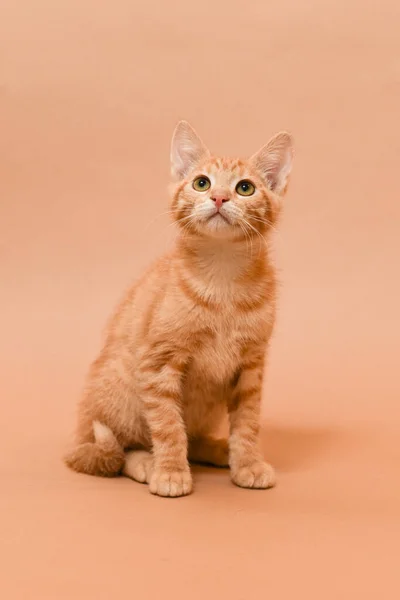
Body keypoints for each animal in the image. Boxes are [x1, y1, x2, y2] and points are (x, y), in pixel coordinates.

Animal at [65, 120, 294, 496]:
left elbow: (247, 423)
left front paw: (247, 462)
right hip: (119, 392)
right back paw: (147, 462)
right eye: (201, 183)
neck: (222, 278)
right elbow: (168, 425)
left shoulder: (251, 365)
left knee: (193, 435)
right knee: (114, 452)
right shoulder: (159, 363)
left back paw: (218, 449)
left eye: (245, 188)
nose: (219, 198)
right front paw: (171, 471)